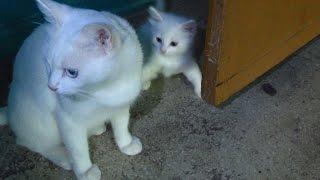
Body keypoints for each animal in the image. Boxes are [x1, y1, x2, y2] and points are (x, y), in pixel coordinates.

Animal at [0, 0, 143, 179]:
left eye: (71, 72)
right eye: (48, 65)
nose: (51, 87)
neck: (105, 89)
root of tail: (9, 111)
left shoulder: (121, 107)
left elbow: (121, 127)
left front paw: (126, 144)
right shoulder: (69, 122)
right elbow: (79, 151)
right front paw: (85, 171)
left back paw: (97, 127)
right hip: (41, 124)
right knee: (36, 144)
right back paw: (64, 157)